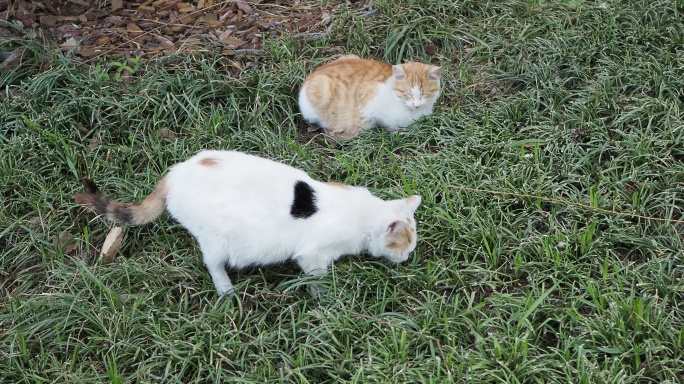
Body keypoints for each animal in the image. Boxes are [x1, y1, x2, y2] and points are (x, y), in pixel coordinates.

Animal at [72, 150, 420, 296]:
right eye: (404, 246)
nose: (406, 259)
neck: (364, 215)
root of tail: (173, 174)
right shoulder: (312, 254)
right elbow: (317, 276)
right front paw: (325, 293)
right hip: (215, 239)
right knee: (213, 264)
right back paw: (226, 290)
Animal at [300, 54, 444, 138]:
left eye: (424, 94)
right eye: (407, 94)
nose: (416, 105)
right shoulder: (367, 99)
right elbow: (386, 122)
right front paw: (396, 132)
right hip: (321, 87)